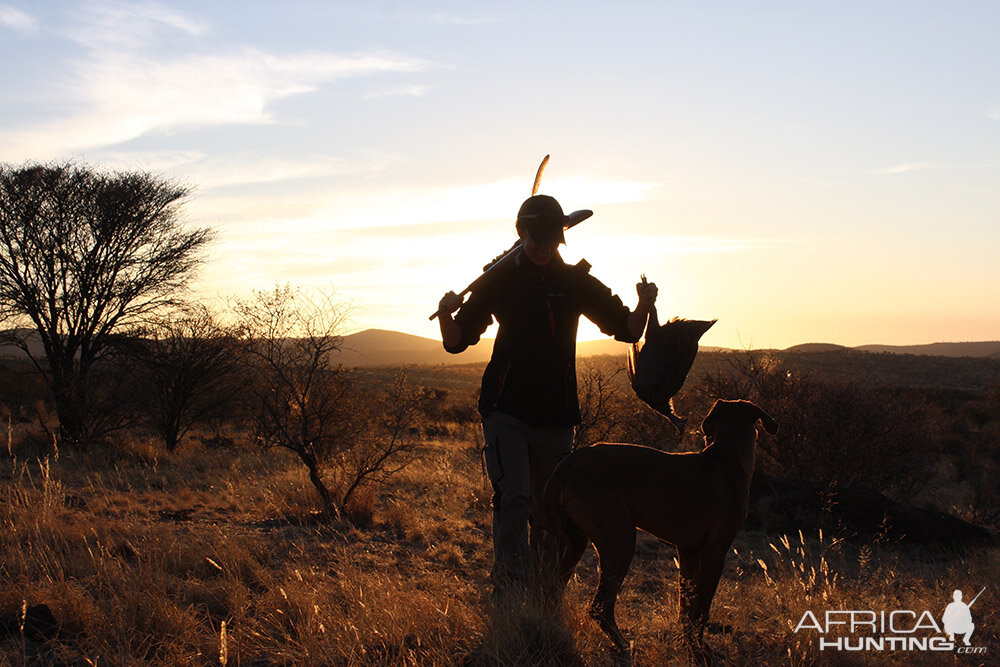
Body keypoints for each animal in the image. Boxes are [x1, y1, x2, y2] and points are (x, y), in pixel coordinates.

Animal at [544, 400, 776, 656]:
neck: (727, 456)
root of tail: (564, 467)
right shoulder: (715, 553)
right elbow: (701, 609)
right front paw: (702, 651)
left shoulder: (688, 551)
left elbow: (686, 606)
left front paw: (690, 645)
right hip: (620, 539)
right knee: (599, 606)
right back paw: (624, 645)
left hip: (576, 541)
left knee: (555, 589)